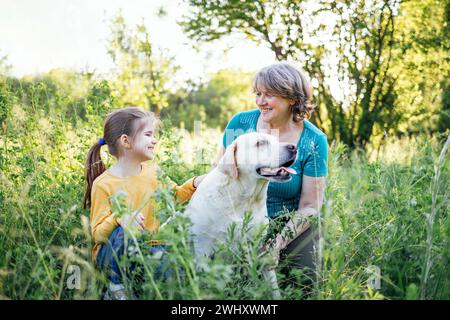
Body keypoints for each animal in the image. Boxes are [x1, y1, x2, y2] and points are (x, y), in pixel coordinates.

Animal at [185, 132, 298, 298]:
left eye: (277, 140)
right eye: (260, 143)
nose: (294, 147)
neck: (244, 198)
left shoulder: (260, 247)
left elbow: (272, 283)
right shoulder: (202, 246)